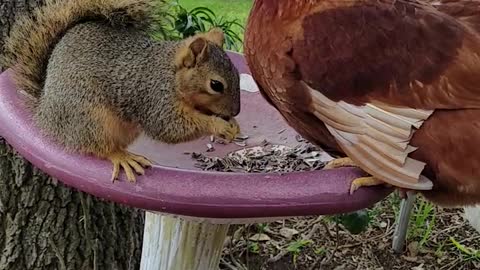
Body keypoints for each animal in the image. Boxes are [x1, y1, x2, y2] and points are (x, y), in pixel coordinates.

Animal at [3, 0, 242, 184]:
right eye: (216, 85)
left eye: (238, 75)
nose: (236, 112)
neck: (170, 75)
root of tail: (45, 112)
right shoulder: (154, 99)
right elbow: (170, 128)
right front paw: (218, 125)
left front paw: (233, 126)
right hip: (90, 118)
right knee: (100, 147)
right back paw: (121, 157)